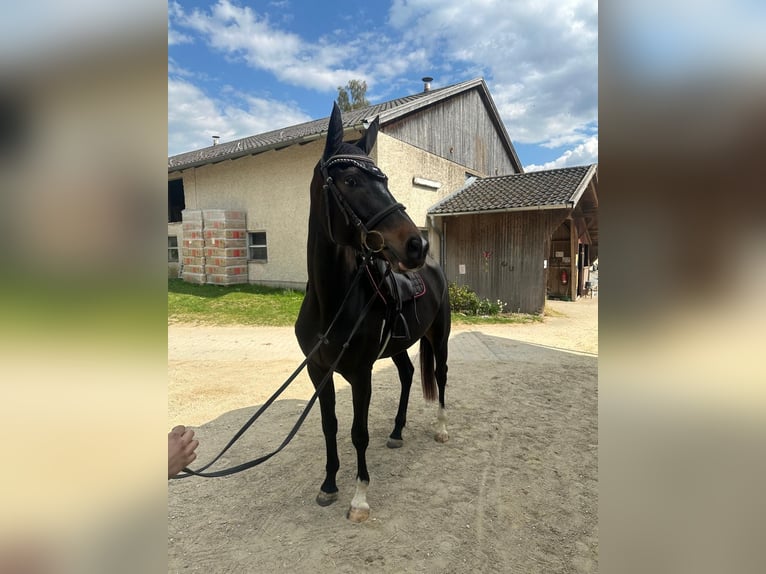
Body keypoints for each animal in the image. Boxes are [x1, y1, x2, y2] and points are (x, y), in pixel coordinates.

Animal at [294, 102, 451, 522]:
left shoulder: (360, 374)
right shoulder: (319, 372)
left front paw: (359, 497)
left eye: (385, 180)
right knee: (409, 374)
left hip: (439, 338)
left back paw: (442, 428)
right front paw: (328, 485)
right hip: (398, 347)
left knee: (441, 376)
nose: (415, 244)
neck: (331, 304)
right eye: (350, 180)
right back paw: (396, 432)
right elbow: (329, 425)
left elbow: (357, 432)